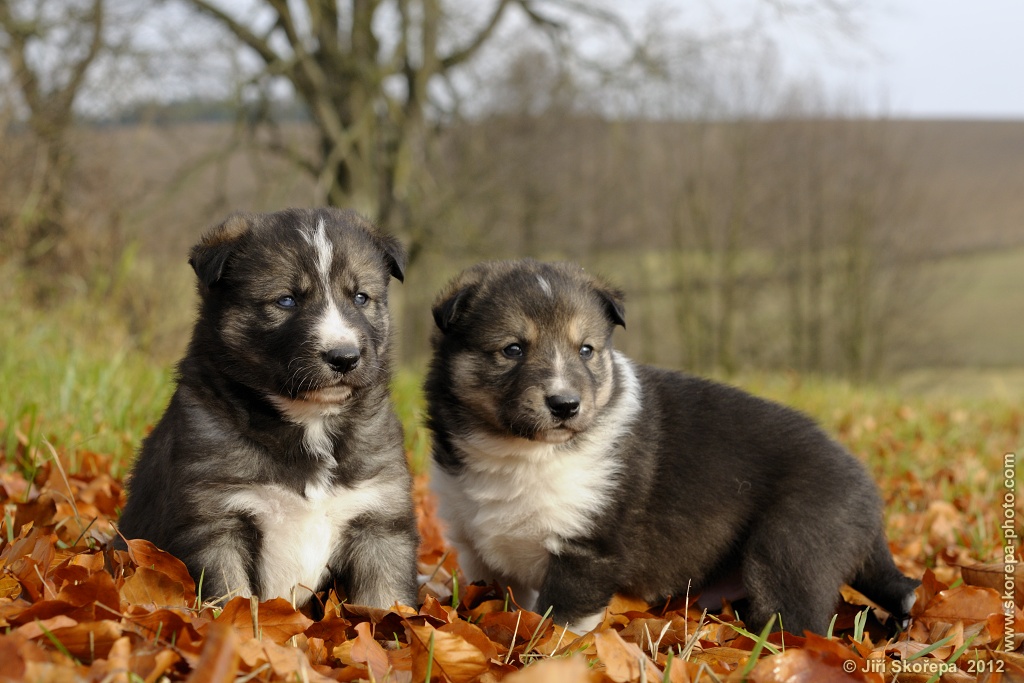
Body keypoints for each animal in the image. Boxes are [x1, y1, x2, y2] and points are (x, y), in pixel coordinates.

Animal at [120, 206, 419, 610]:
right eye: (287, 300)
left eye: (360, 297)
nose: (344, 357)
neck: (310, 421)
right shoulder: (214, 520)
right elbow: (232, 599)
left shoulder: (379, 521)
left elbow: (387, 603)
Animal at [423, 259, 921, 634]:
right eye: (512, 349)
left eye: (586, 350)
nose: (565, 405)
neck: (520, 452)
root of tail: (867, 490)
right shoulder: (477, 548)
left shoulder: (587, 551)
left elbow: (559, 625)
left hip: (791, 552)